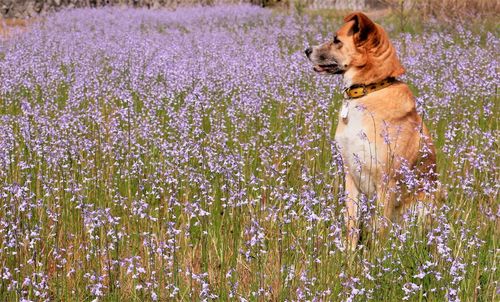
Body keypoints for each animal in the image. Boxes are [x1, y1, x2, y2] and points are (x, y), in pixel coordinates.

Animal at [304, 11, 438, 249]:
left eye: (337, 40)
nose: (307, 50)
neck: (369, 90)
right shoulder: (350, 174)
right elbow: (351, 223)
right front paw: (349, 255)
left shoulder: (387, 182)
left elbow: (381, 232)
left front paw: (378, 257)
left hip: (421, 207)